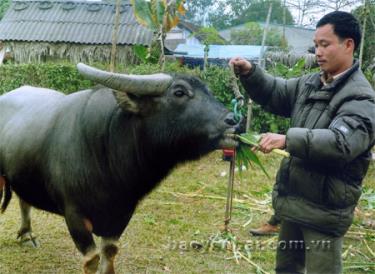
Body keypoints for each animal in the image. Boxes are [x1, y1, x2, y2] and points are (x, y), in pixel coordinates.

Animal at [0, 63, 238, 272]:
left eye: (208, 91)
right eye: (179, 92)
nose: (233, 119)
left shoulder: (121, 215)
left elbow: (109, 253)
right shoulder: (74, 215)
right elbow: (92, 260)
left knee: (24, 200)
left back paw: (27, 234)